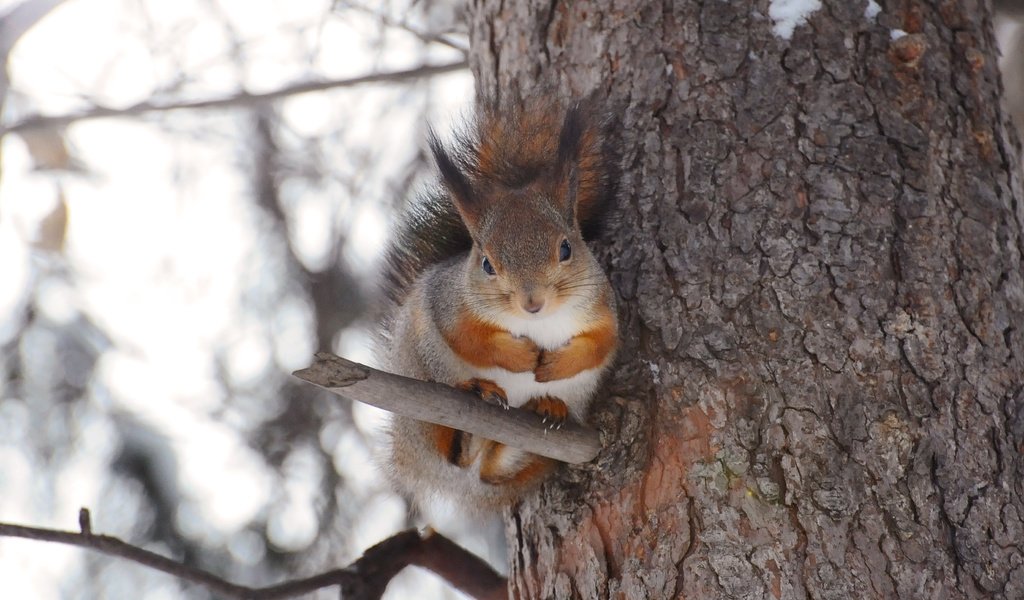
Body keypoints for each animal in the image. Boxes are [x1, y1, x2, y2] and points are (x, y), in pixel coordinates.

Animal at [376, 98, 614, 513]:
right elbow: (470, 339)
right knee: (454, 456)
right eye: (487, 263)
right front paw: (522, 357)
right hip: (424, 386)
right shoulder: (448, 306)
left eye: (566, 248)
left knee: (490, 470)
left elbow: (602, 343)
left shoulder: (601, 307)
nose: (532, 302)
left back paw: (543, 410)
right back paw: (474, 411)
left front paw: (555, 365)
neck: (538, 324)